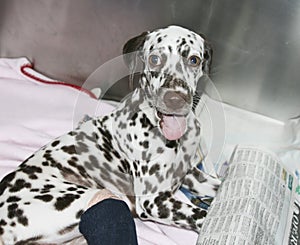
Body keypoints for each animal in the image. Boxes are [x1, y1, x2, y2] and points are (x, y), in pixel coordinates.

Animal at [0, 25, 220, 244]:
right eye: (155, 59)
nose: (175, 99)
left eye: (194, 60)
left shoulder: (191, 175)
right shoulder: (153, 202)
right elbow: (201, 215)